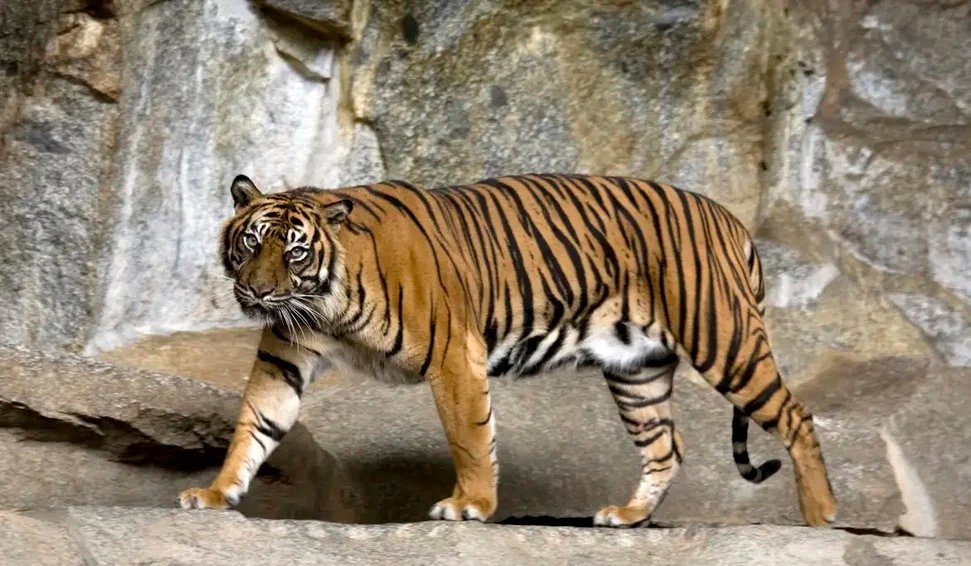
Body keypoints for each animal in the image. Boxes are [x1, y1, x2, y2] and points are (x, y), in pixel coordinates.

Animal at [178, 173, 837, 527]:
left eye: (293, 251)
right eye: (251, 243)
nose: (258, 292)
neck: (325, 304)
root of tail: (730, 219)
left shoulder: (453, 354)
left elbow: (470, 437)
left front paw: (470, 504)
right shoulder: (283, 359)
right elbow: (254, 427)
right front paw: (215, 494)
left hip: (723, 338)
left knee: (796, 416)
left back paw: (821, 516)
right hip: (638, 370)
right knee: (666, 448)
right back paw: (627, 517)